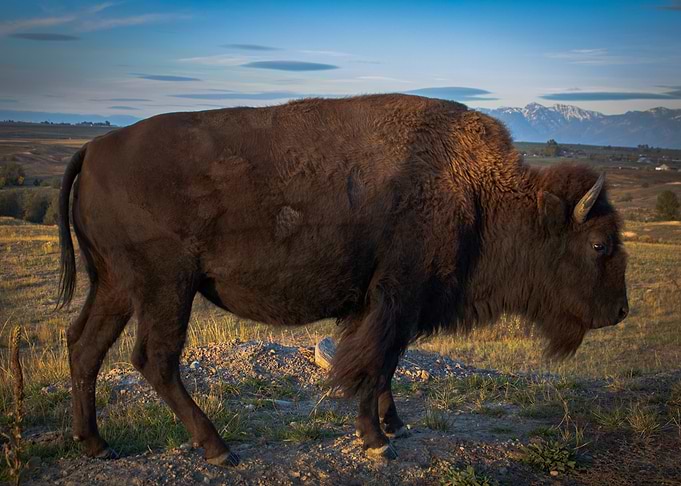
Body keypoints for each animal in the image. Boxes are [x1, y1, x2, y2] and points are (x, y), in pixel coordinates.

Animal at [58, 94, 628, 465]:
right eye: (599, 244)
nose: (620, 311)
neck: (475, 191)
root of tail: (94, 148)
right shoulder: (396, 296)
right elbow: (373, 364)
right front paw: (376, 440)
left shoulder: (384, 303)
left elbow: (386, 364)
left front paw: (396, 425)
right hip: (165, 286)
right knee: (154, 359)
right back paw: (218, 449)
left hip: (115, 286)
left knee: (85, 344)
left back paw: (97, 445)